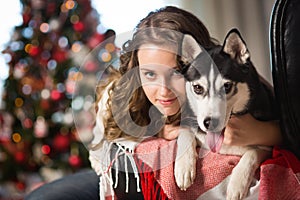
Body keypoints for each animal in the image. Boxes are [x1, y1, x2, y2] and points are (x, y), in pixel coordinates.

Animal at [179, 28, 278, 199]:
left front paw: (237, 184)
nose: (209, 123)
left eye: (226, 86)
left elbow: (252, 153)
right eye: (198, 88)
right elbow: (184, 132)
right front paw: (184, 169)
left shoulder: (269, 147)